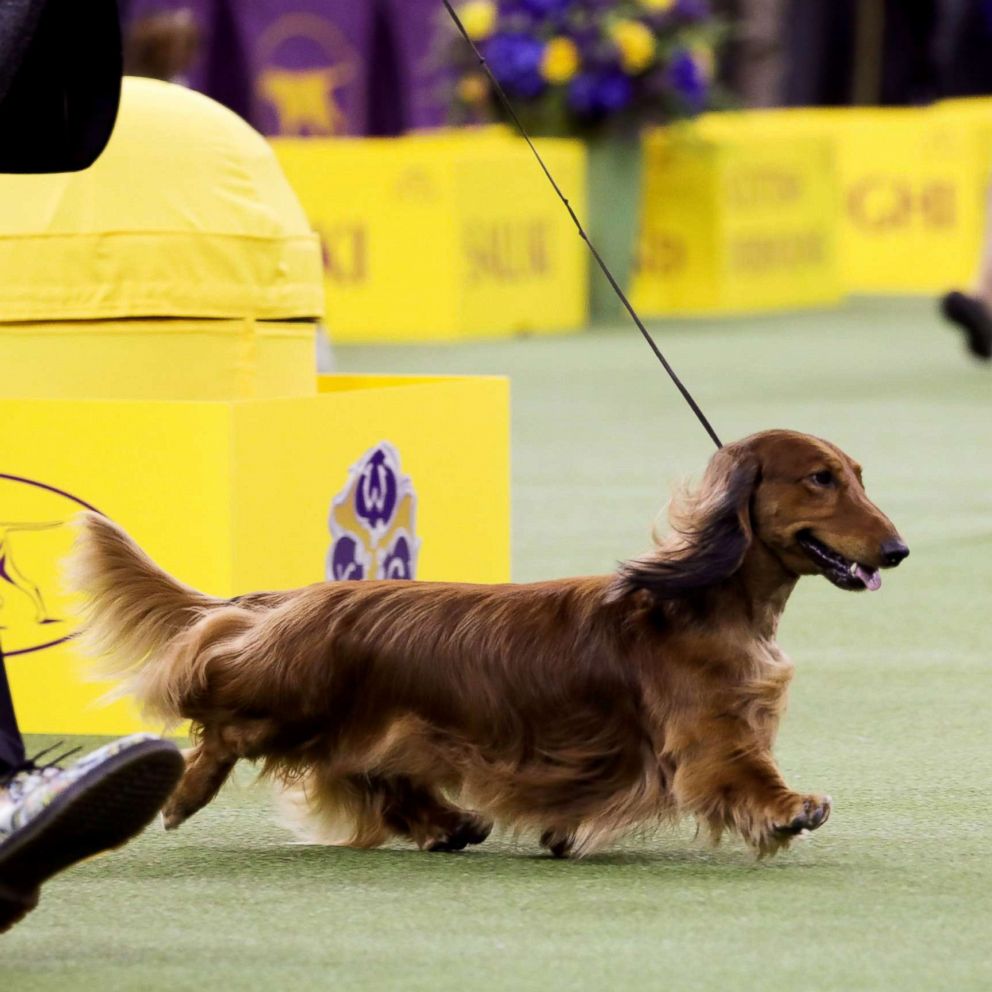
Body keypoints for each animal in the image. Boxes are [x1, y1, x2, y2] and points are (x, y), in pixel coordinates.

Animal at [70, 430, 908, 856]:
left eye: (857, 474)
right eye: (821, 479)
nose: (898, 550)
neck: (705, 601)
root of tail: (302, 597)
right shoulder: (711, 734)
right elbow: (747, 776)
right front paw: (791, 808)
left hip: (371, 723)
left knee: (370, 775)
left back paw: (448, 825)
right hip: (294, 699)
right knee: (216, 715)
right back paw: (181, 795)